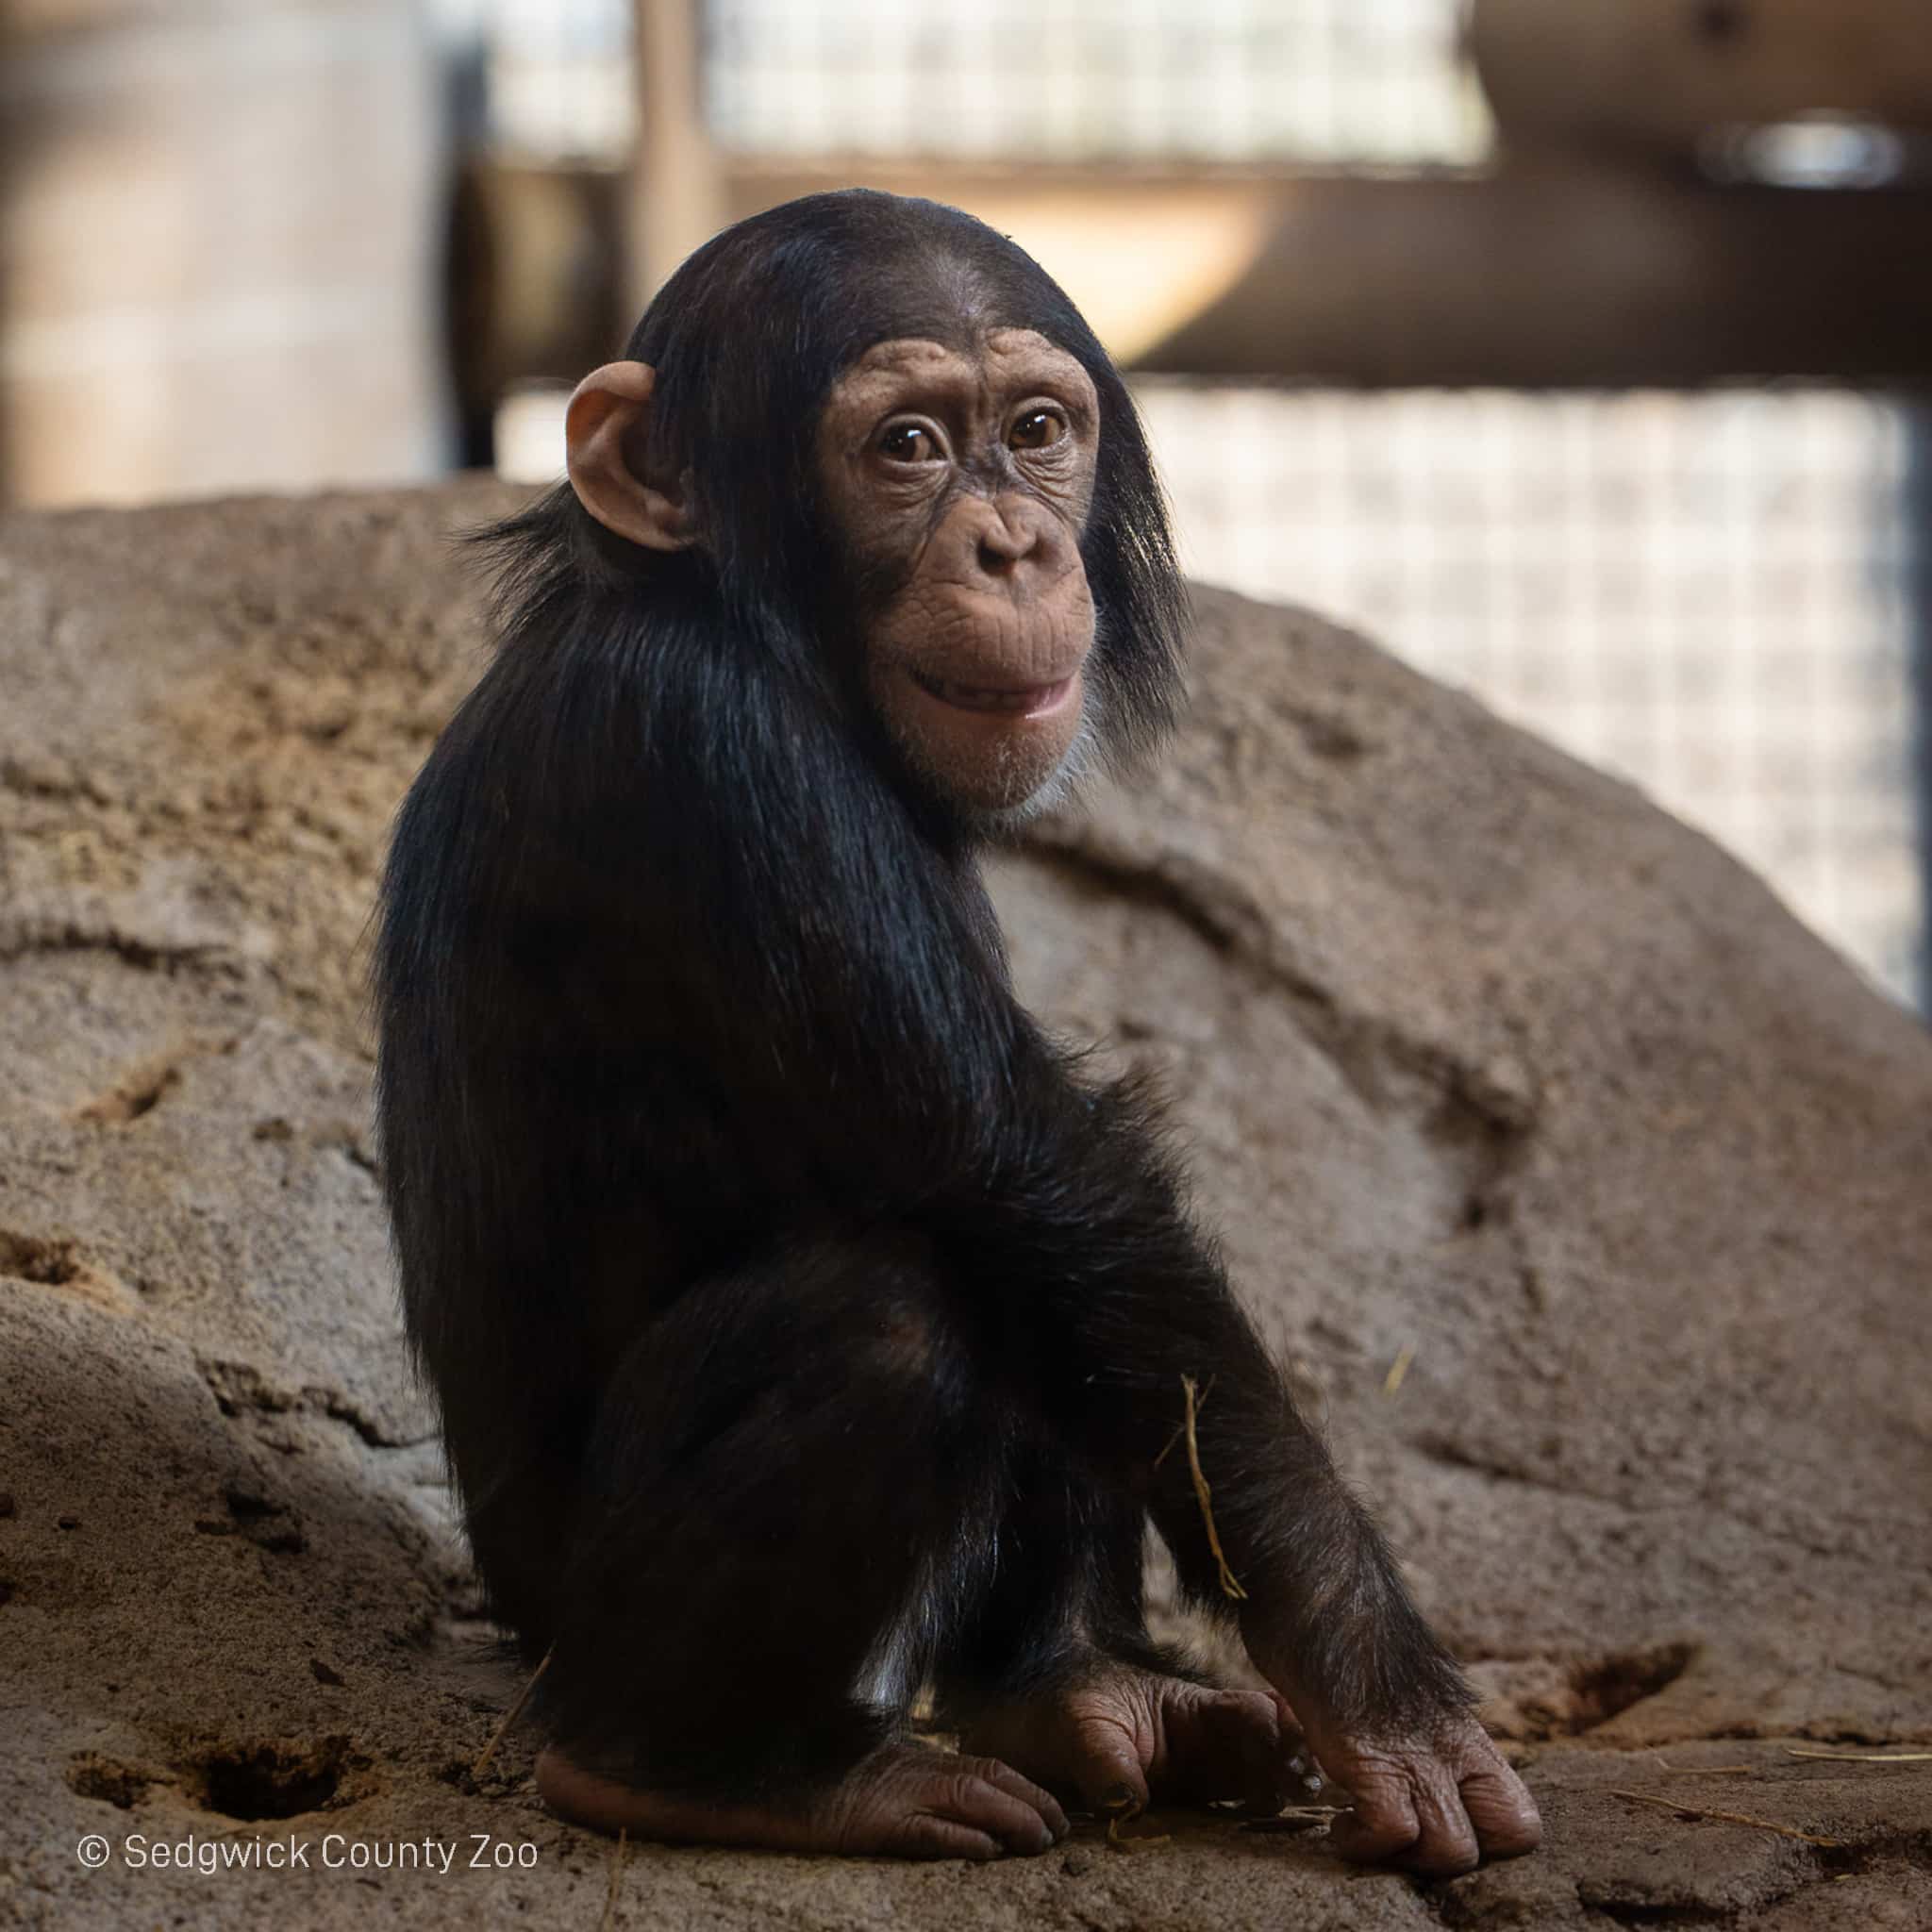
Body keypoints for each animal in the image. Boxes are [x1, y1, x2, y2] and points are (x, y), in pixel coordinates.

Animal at [373, 188, 1543, 1871]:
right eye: (909, 446)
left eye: (1038, 431)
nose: (1014, 542)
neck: (749, 631)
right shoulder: (721, 763)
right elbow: (1009, 1163)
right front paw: (1379, 1683)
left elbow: (1081, 1232)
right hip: (564, 1620)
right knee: (897, 1312)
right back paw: (704, 1771)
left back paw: (1071, 1691)